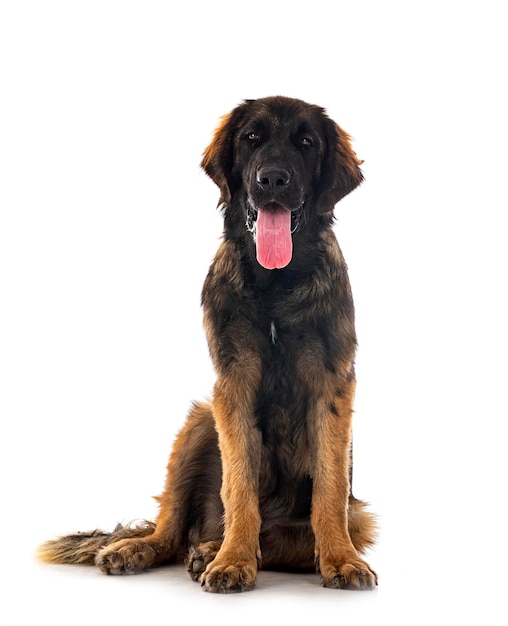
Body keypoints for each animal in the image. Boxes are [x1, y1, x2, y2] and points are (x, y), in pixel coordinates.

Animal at [38, 94, 378, 588]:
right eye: (251, 137)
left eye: (306, 143)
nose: (273, 179)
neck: (275, 283)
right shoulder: (232, 385)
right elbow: (238, 485)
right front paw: (233, 559)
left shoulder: (332, 385)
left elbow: (329, 488)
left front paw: (341, 559)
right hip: (198, 423)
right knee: (171, 528)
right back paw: (156, 548)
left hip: (353, 514)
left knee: (285, 539)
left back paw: (210, 549)